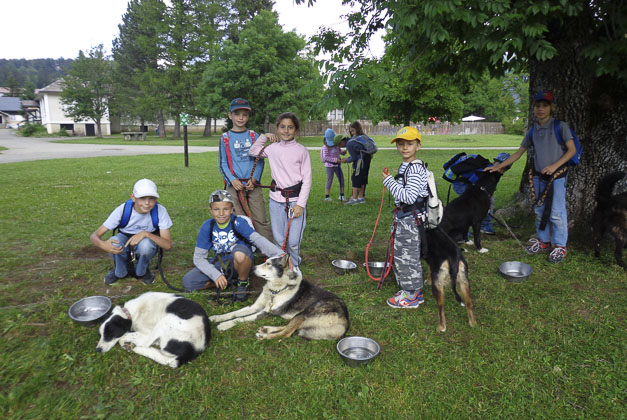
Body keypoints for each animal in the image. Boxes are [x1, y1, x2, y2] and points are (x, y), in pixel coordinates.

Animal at [209, 254, 350, 340]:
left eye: (268, 264)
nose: (252, 268)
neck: (275, 290)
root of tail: (346, 321)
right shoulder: (255, 306)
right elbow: (234, 313)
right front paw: (216, 318)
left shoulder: (265, 312)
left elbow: (241, 319)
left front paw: (225, 325)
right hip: (301, 317)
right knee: (288, 326)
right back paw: (265, 329)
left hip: (307, 312)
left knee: (286, 333)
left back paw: (264, 336)